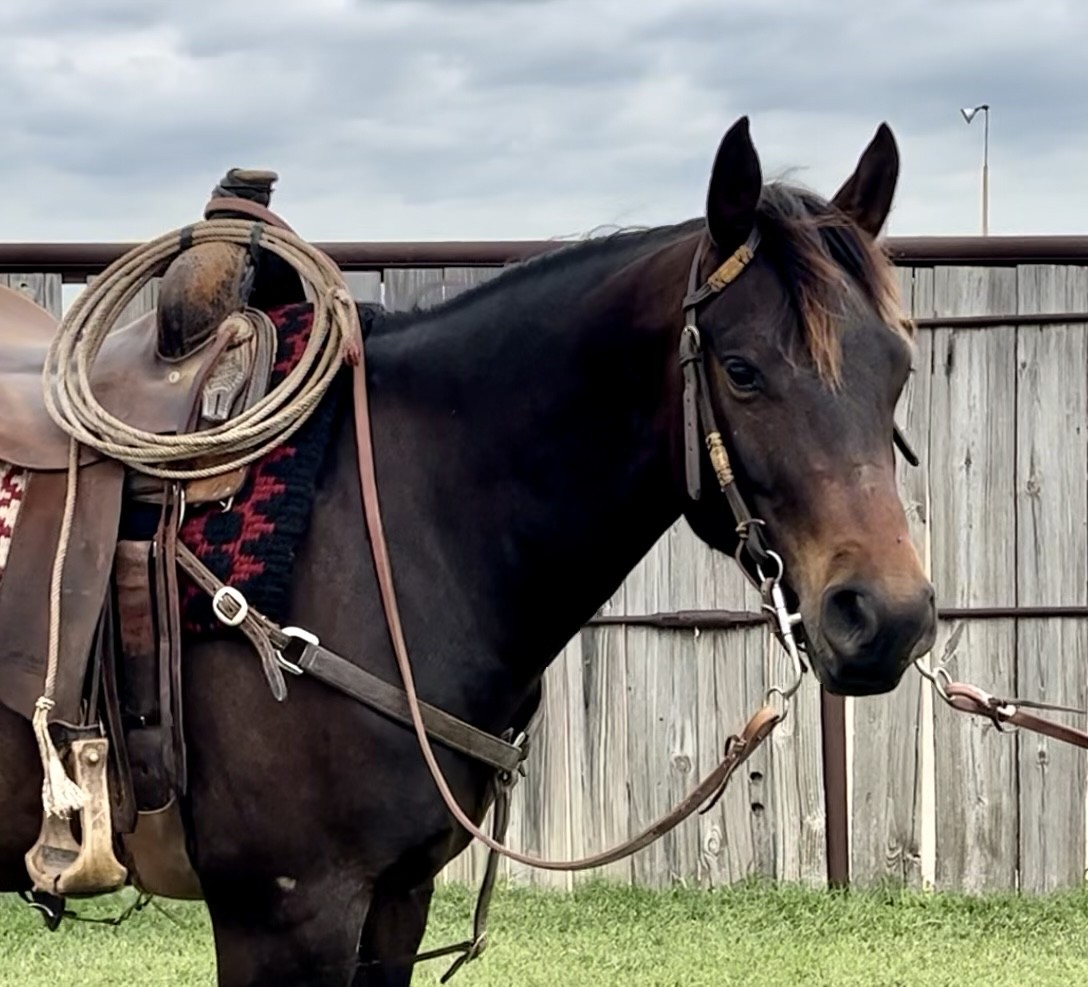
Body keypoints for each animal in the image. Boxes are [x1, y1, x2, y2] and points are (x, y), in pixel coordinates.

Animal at [0, 119, 935, 983]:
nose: (884, 616)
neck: (396, 526)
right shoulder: (287, 912)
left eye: (899, 366)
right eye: (741, 370)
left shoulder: (395, 899)